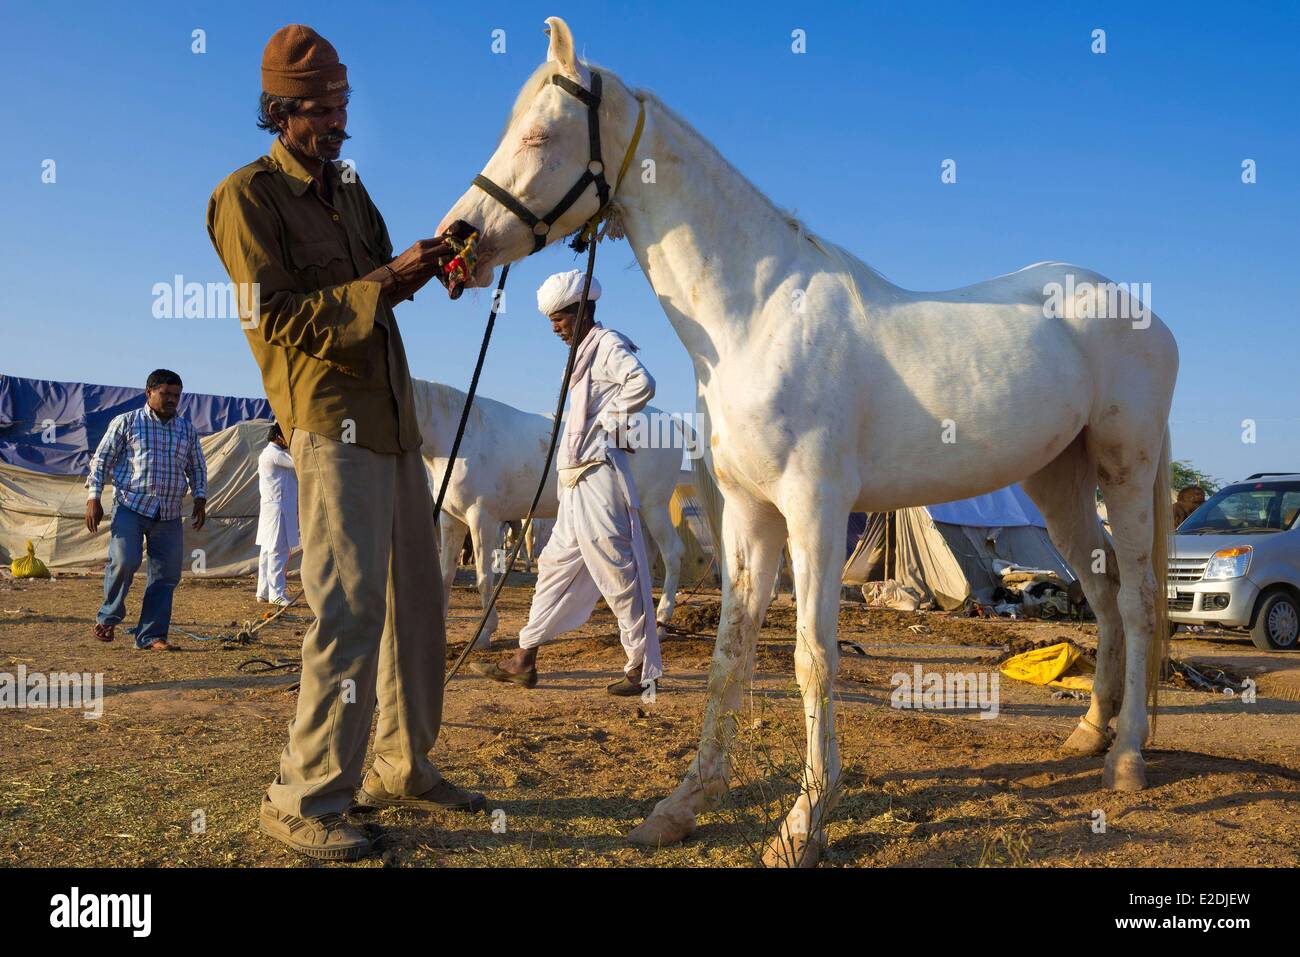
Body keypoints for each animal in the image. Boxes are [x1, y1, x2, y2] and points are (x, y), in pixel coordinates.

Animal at [411, 378, 716, 646]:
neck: (463, 434)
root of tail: (671, 420)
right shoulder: (452, 521)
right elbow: (445, 575)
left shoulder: (482, 519)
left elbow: (484, 576)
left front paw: (484, 635)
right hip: (638, 509)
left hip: (654, 505)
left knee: (672, 554)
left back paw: (662, 624)